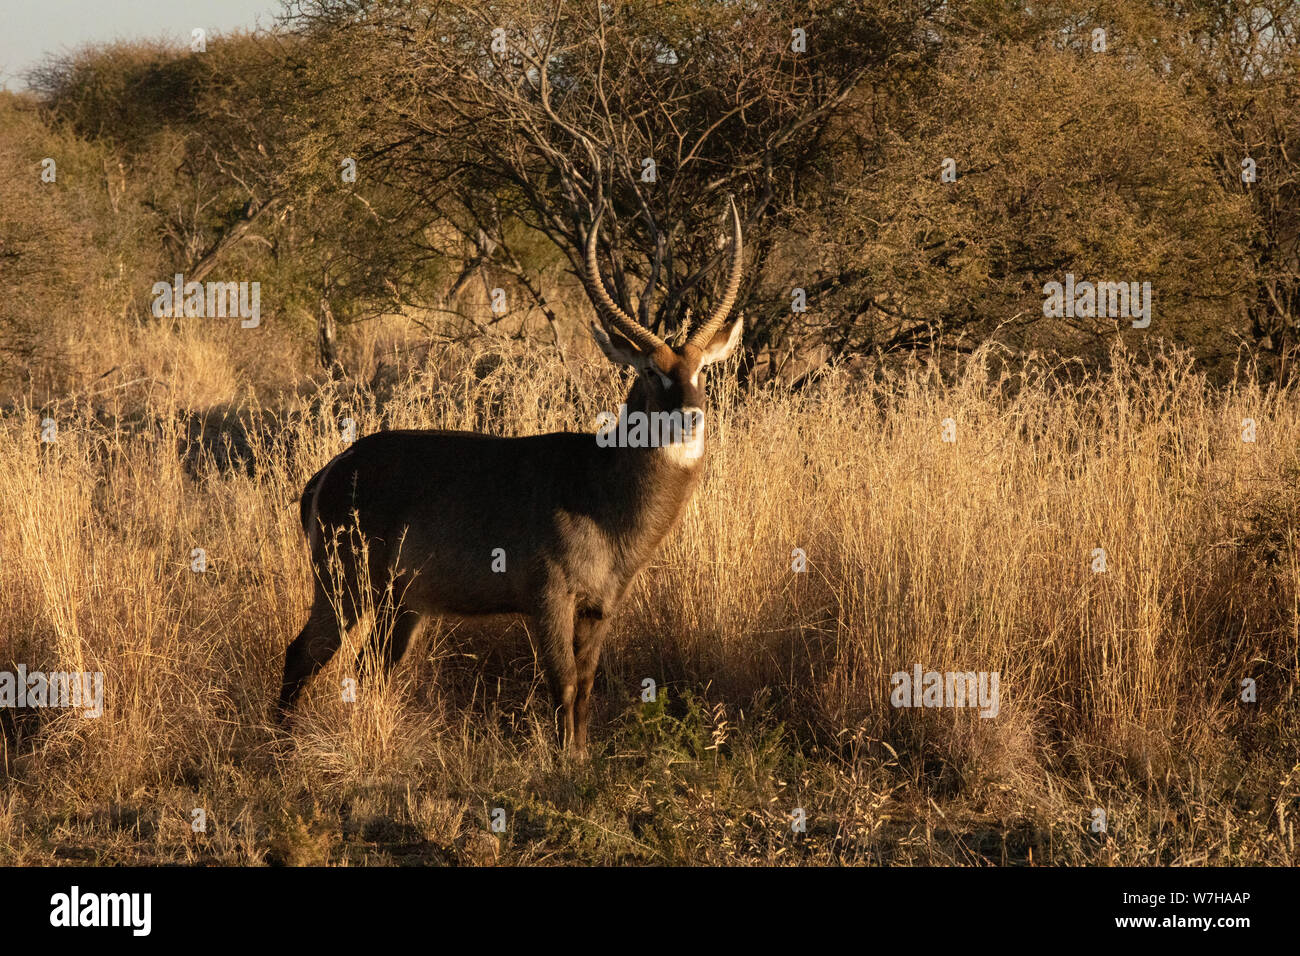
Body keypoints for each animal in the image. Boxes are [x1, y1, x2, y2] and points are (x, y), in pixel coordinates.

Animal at [274, 201, 743, 754]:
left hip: (401, 602)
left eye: (702, 369)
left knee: (370, 667)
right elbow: (563, 684)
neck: (601, 485)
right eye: (650, 371)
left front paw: (582, 757)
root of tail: (329, 470)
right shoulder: (548, 599)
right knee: (302, 653)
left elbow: (586, 686)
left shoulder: (601, 607)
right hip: (342, 583)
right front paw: (564, 764)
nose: (691, 417)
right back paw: (278, 747)